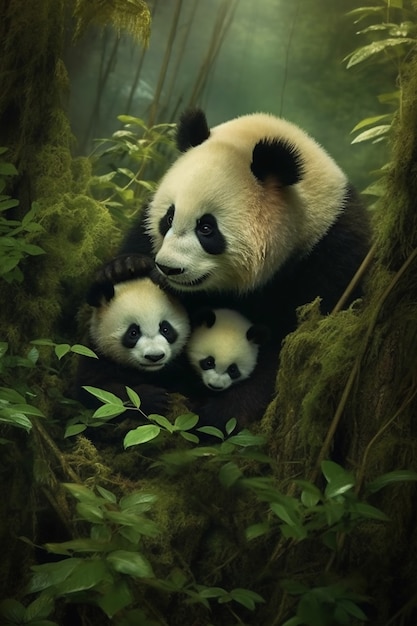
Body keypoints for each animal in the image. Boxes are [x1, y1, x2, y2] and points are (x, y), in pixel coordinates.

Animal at [114, 109, 370, 426]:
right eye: (168, 217)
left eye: (207, 228)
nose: (168, 268)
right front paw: (125, 266)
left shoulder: (332, 257)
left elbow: (293, 352)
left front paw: (222, 411)